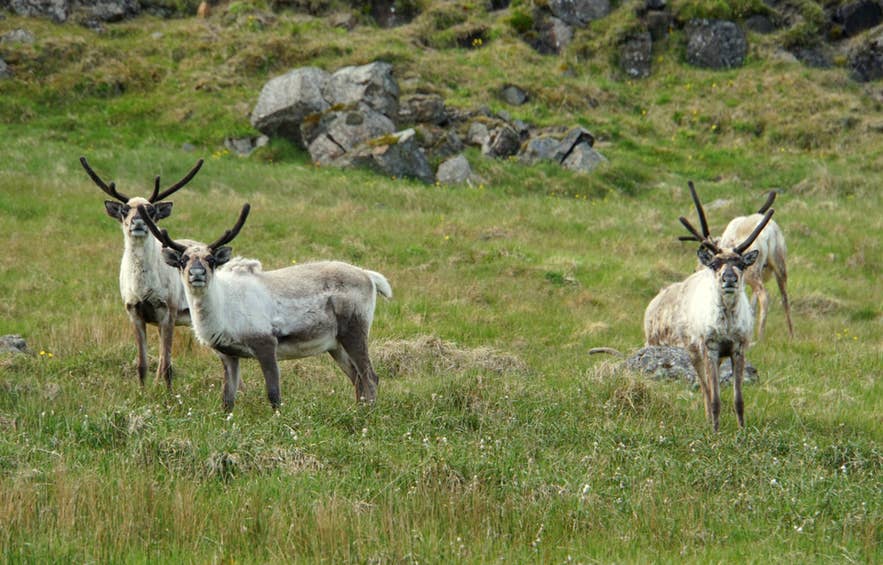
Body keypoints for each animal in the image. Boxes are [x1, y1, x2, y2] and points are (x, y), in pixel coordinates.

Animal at [81, 156, 204, 388]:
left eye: (151, 211)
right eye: (124, 210)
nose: (137, 222)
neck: (143, 285)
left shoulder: (169, 310)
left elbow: (168, 366)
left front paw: (168, 394)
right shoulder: (134, 311)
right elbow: (142, 363)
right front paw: (142, 391)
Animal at [137, 203, 392, 413]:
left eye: (211, 260)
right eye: (183, 261)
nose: (197, 274)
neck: (223, 309)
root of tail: (369, 277)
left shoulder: (266, 343)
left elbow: (274, 394)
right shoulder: (228, 355)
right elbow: (227, 400)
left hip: (355, 330)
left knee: (370, 377)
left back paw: (368, 417)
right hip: (335, 344)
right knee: (357, 377)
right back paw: (357, 413)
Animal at [644, 182, 774, 431]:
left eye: (741, 264)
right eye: (715, 263)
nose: (729, 279)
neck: (727, 326)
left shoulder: (738, 347)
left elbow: (739, 399)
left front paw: (742, 430)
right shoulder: (710, 347)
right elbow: (714, 397)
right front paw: (715, 429)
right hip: (690, 348)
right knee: (704, 386)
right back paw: (706, 418)